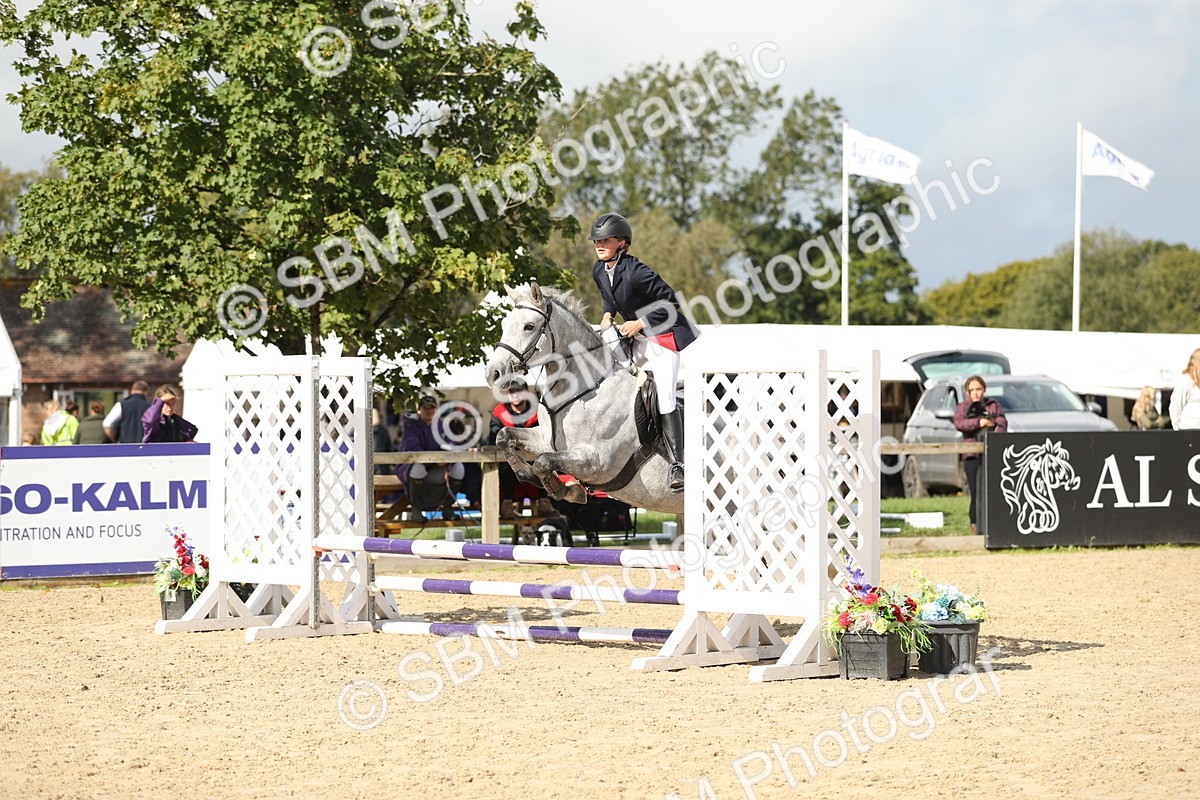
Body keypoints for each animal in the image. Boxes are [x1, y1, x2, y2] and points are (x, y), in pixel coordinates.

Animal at [484, 283, 684, 515]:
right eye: (504, 324)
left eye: (529, 326)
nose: (493, 374)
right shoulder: (545, 440)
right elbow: (503, 436)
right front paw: (529, 475)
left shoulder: (596, 461)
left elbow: (543, 462)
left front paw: (564, 489)